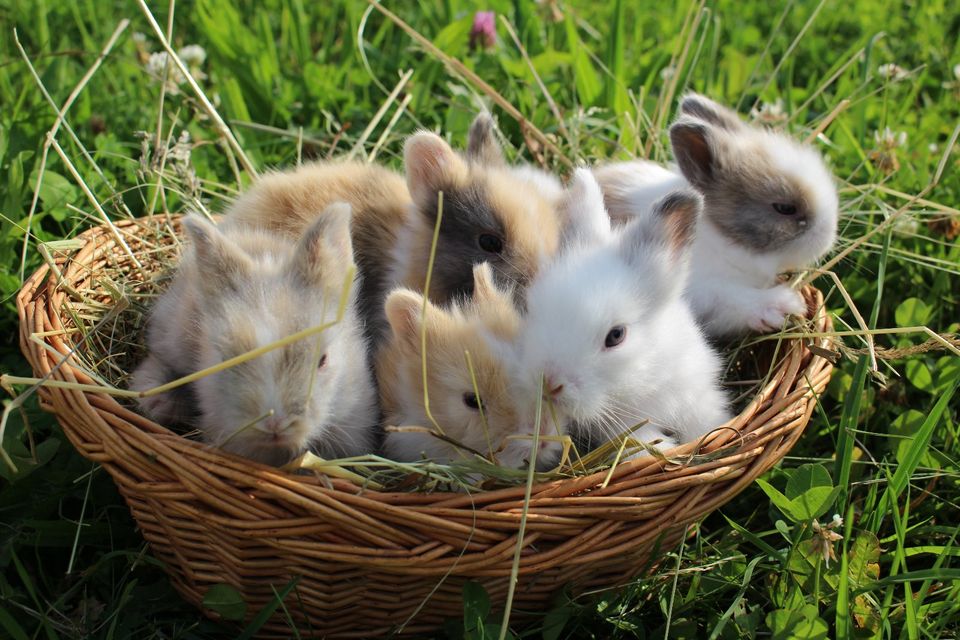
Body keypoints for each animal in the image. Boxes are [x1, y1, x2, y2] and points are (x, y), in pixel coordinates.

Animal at [516, 168, 728, 452]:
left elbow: (707, 423)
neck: (644, 381)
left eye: (616, 336)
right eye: (532, 309)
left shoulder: (697, 394)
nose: (549, 383)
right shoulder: (629, 429)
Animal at [596, 92, 836, 338]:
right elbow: (734, 297)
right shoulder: (708, 291)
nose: (829, 237)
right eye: (784, 208)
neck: (720, 237)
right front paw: (784, 305)